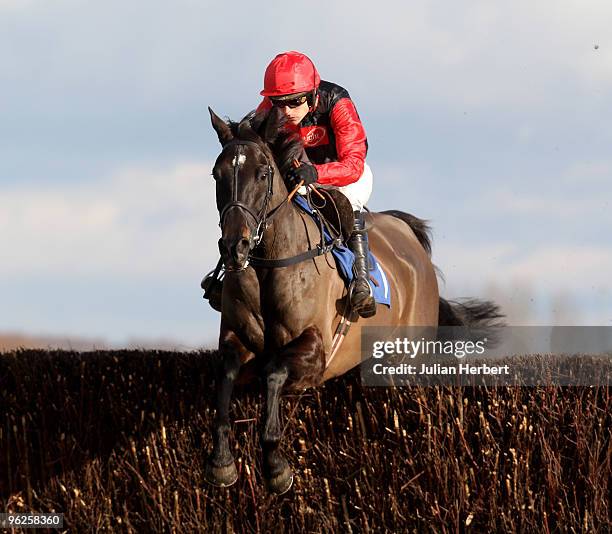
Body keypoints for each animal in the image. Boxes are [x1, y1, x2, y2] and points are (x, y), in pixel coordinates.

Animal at [206, 107, 502, 496]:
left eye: (263, 173)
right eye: (217, 174)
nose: (234, 247)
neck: (270, 263)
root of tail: (410, 239)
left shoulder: (315, 353)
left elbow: (274, 371)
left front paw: (276, 467)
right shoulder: (235, 342)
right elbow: (224, 375)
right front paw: (222, 463)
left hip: (406, 360)